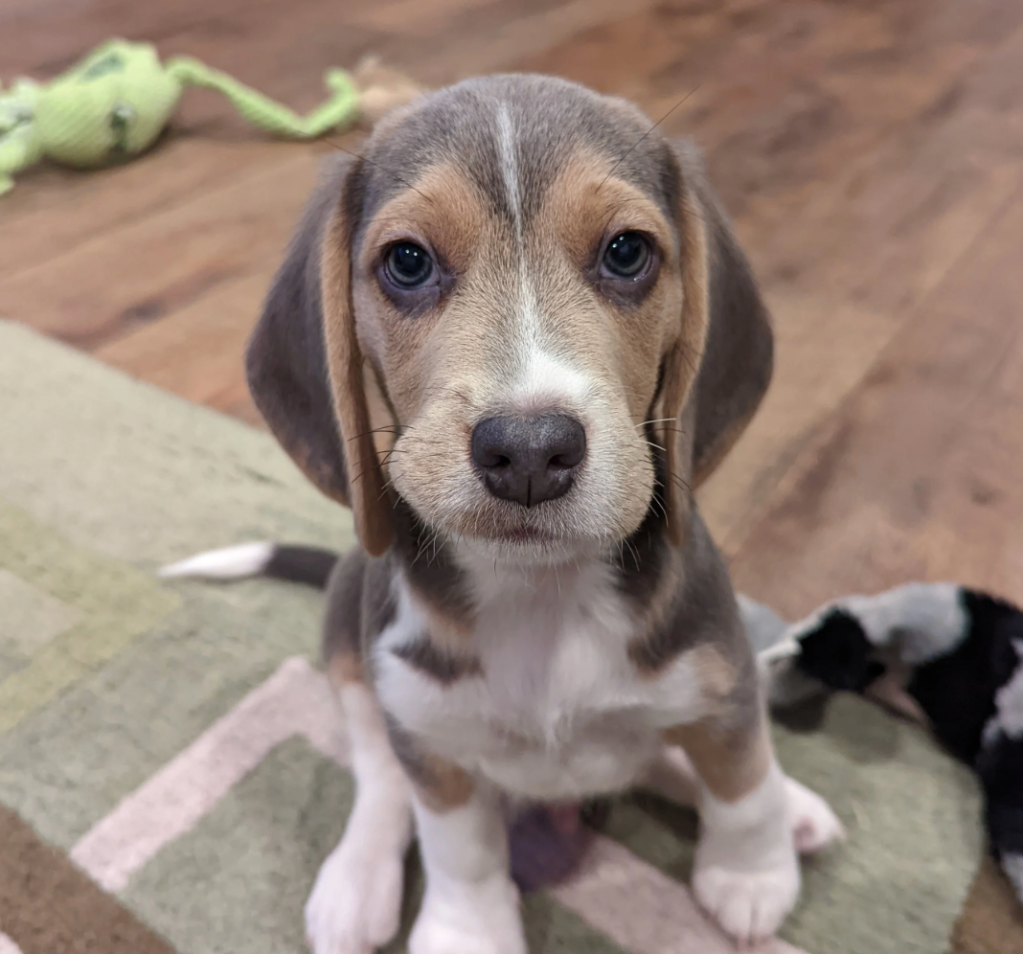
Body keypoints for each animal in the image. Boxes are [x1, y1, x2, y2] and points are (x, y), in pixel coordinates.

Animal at [188, 74, 842, 952]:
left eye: (626, 252)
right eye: (407, 262)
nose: (529, 451)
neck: (541, 591)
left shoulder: (722, 677)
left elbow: (741, 783)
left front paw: (750, 873)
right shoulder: (431, 740)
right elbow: (457, 846)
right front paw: (466, 930)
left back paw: (785, 806)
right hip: (353, 645)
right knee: (378, 774)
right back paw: (356, 881)